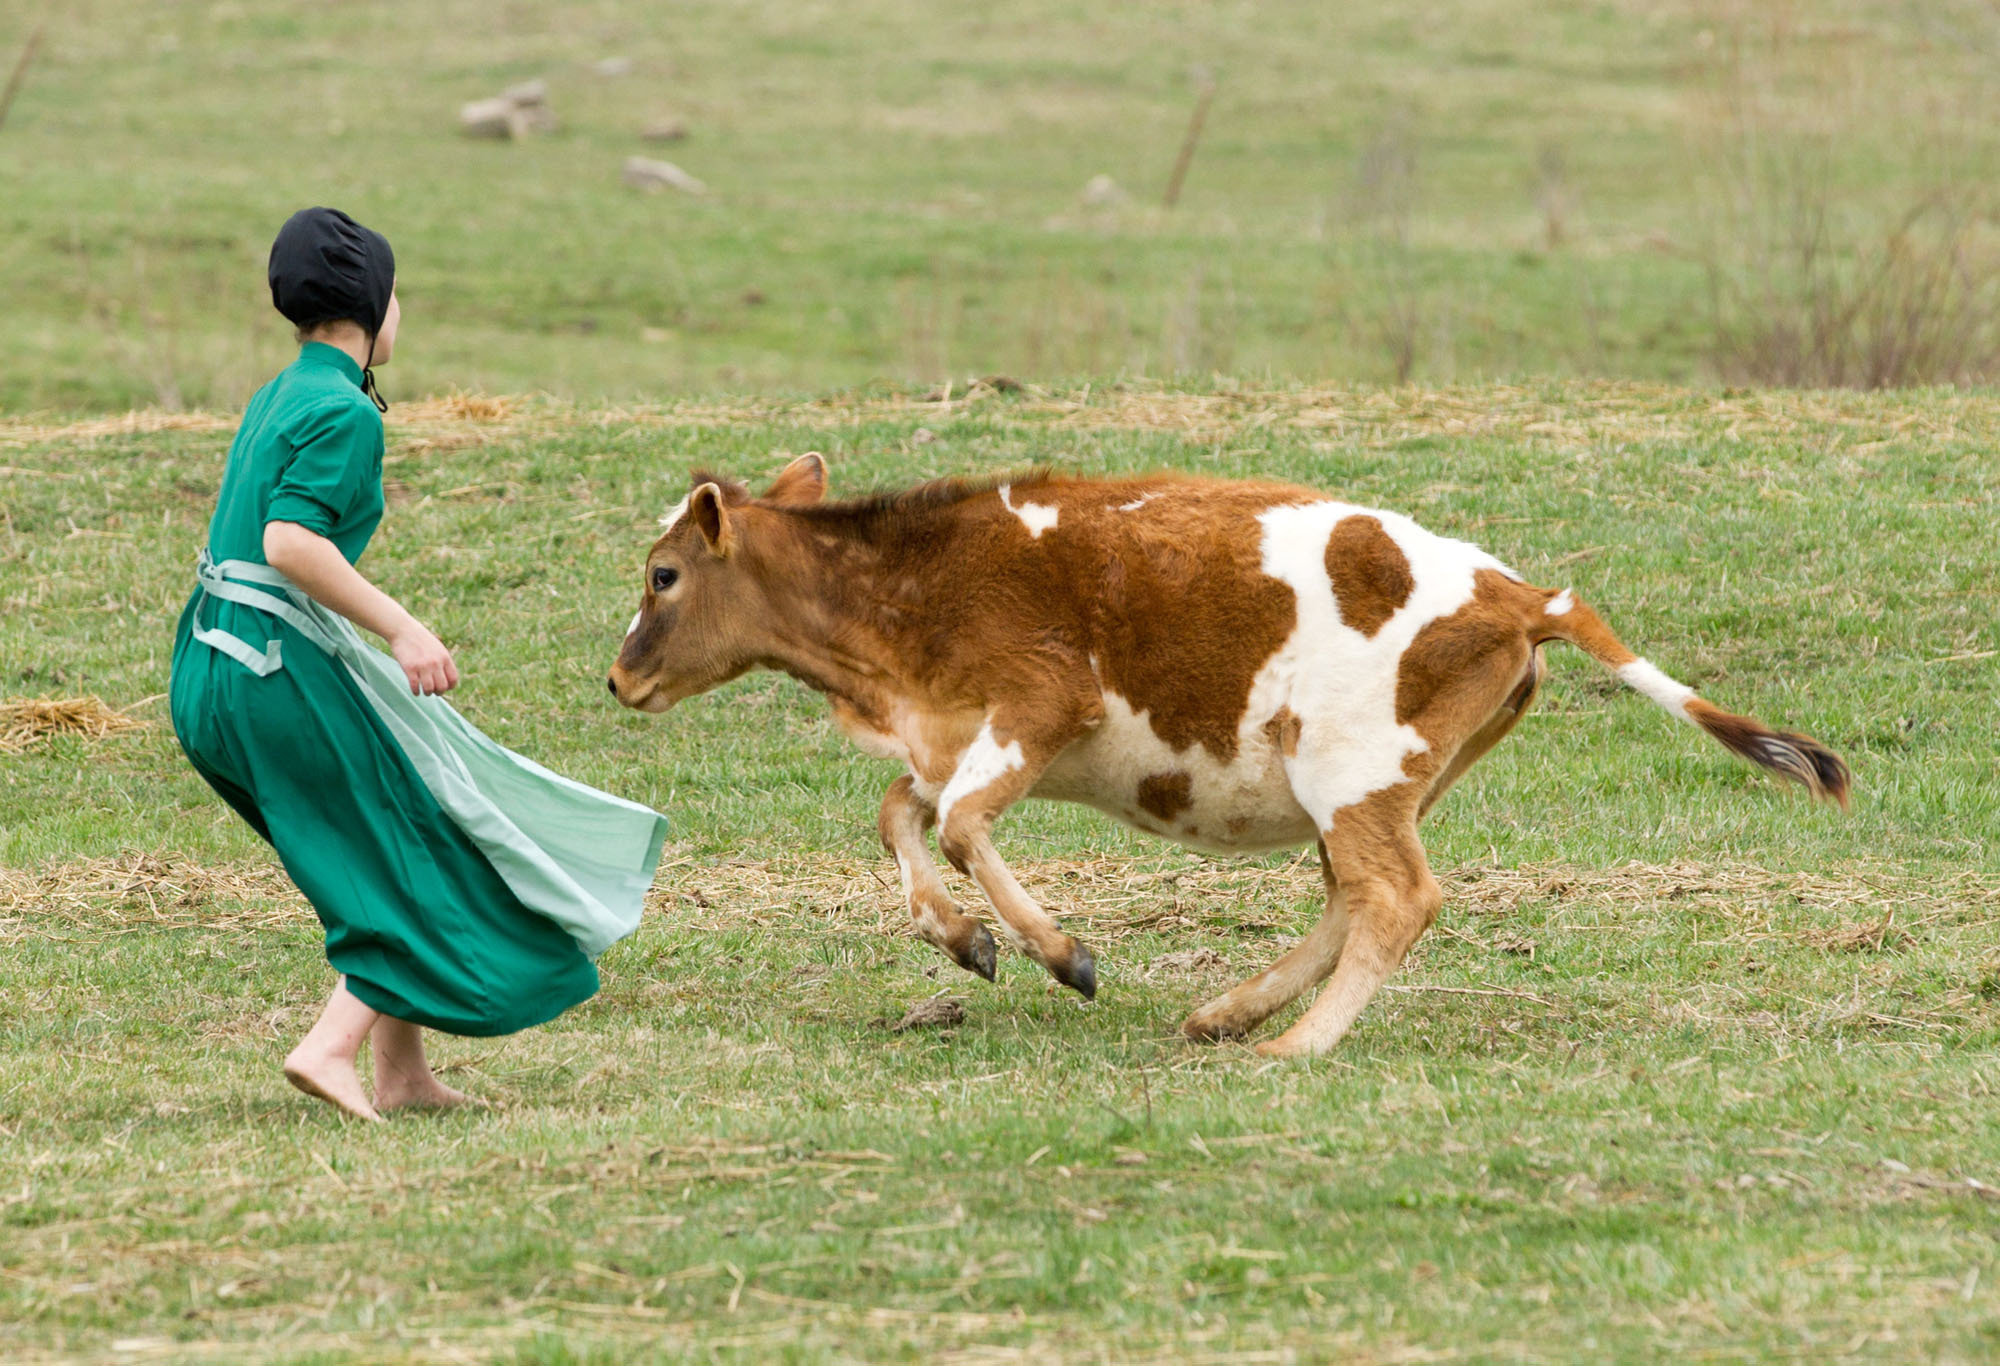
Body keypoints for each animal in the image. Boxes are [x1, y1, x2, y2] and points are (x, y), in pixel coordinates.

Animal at [608, 454, 1849, 1058]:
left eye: (662, 575)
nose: (617, 679)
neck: (913, 583)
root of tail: (1519, 593)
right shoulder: (947, 739)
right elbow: (899, 817)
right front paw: (963, 942)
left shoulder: (1033, 710)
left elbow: (954, 827)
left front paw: (1063, 953)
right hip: (1376, 788)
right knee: (1354, 898)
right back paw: (1230, 1014)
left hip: (1352, 778)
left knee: (1397, 899)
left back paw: (1291, 1044)